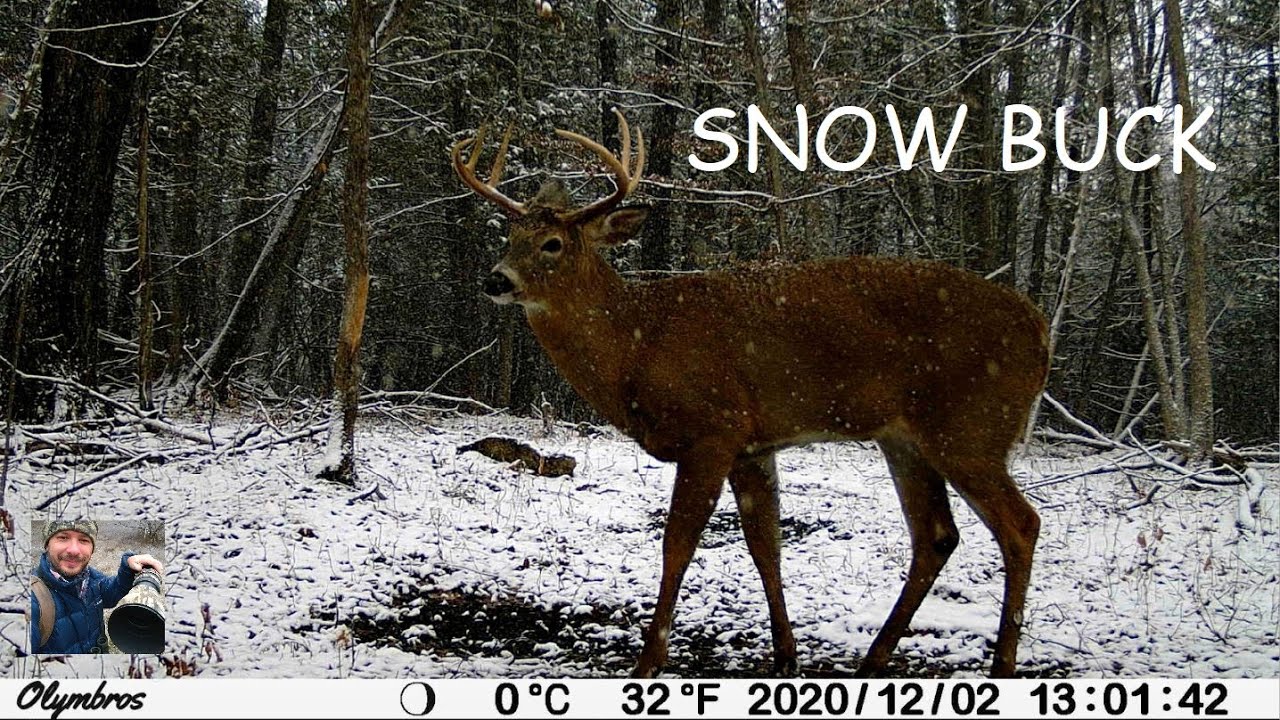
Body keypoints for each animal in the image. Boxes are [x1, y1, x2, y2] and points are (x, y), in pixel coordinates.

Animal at [451, 110, 1050, 679]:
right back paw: (873, 659)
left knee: (1021, 524)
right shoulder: (753, 446)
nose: (496, 280)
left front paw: (649, 660)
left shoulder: (712, 429)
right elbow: (766, 545)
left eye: (551, 244)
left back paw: (1002, 664)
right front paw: (785, 656)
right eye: (509, 238)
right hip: (906, 437)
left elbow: (678, 542)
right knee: (936, 534)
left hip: (970, 425)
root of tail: (1041, 329)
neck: (637, 346)